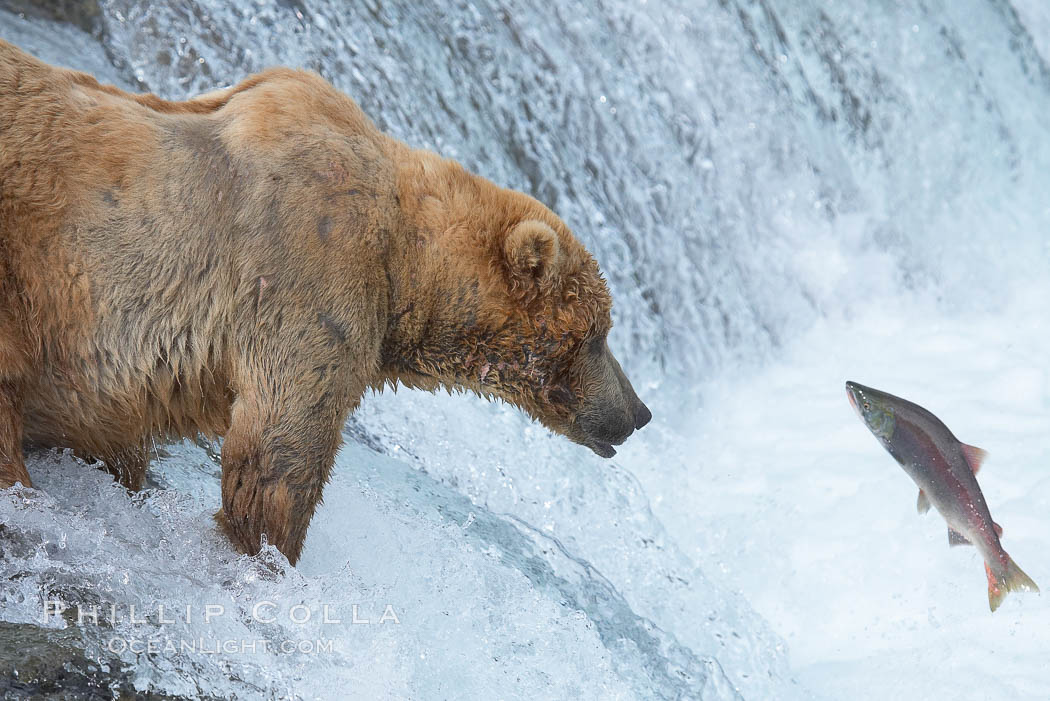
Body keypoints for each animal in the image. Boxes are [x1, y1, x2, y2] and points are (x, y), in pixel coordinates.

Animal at [0, 39, 651, 562]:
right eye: (599, 334)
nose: (640, 411)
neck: (405, 265)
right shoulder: (310, 266)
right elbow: (282, 447)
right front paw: (268, 554)